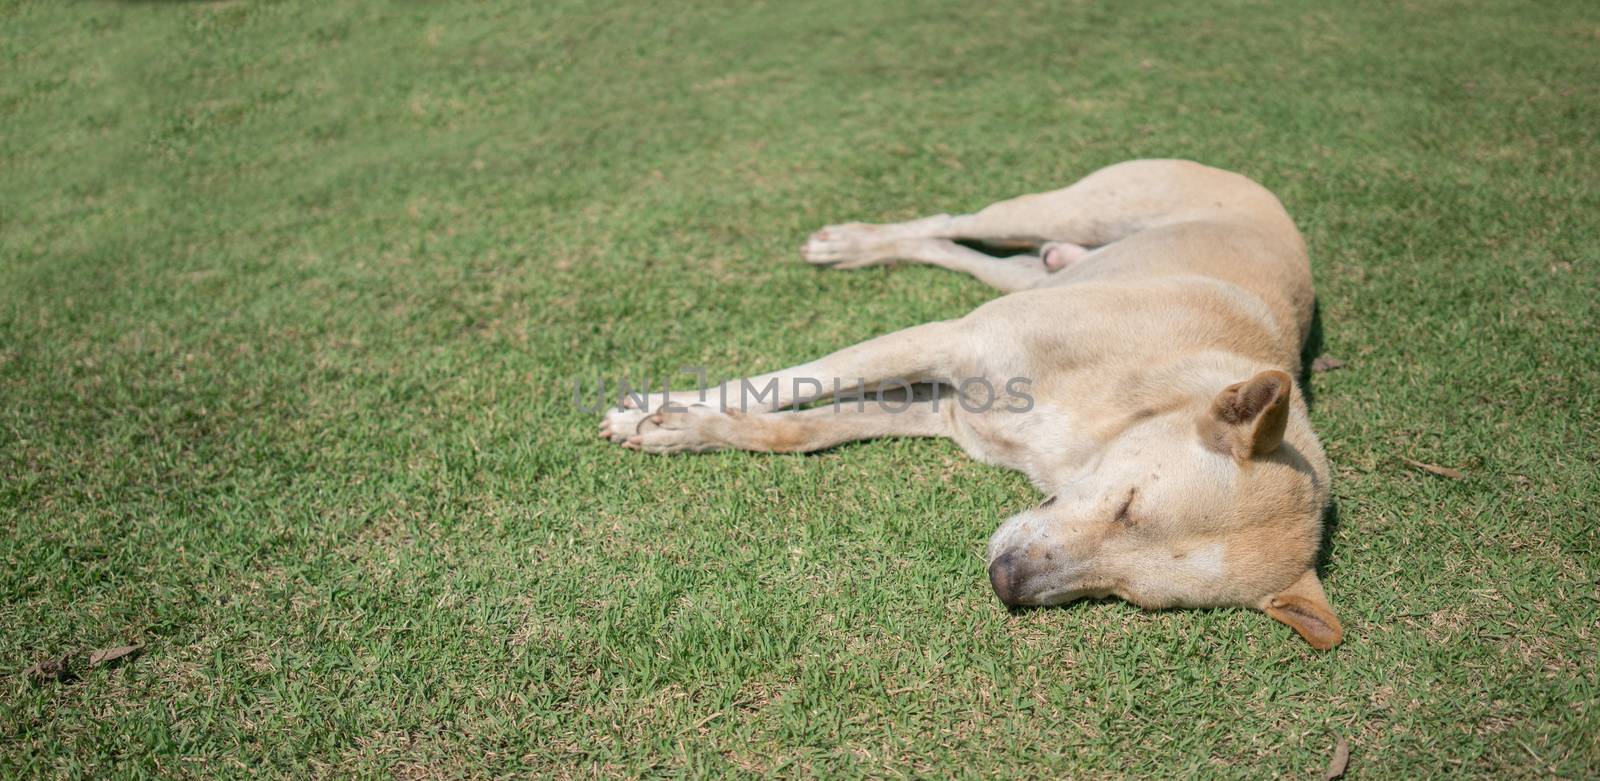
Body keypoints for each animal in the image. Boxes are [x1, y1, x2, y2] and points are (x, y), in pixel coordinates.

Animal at [604, 158, 1344, 646]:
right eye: (1129, 506)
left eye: (1128, 595)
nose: (1005, 581)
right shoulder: (949, 342)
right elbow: (797, 381)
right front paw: (661, 403)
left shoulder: (941, 408)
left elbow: (804, 430)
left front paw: (682, 427)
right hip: (1067, 207)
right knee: (954, 220)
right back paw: (856, 242)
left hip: (1040, 264)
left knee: (978, 255)